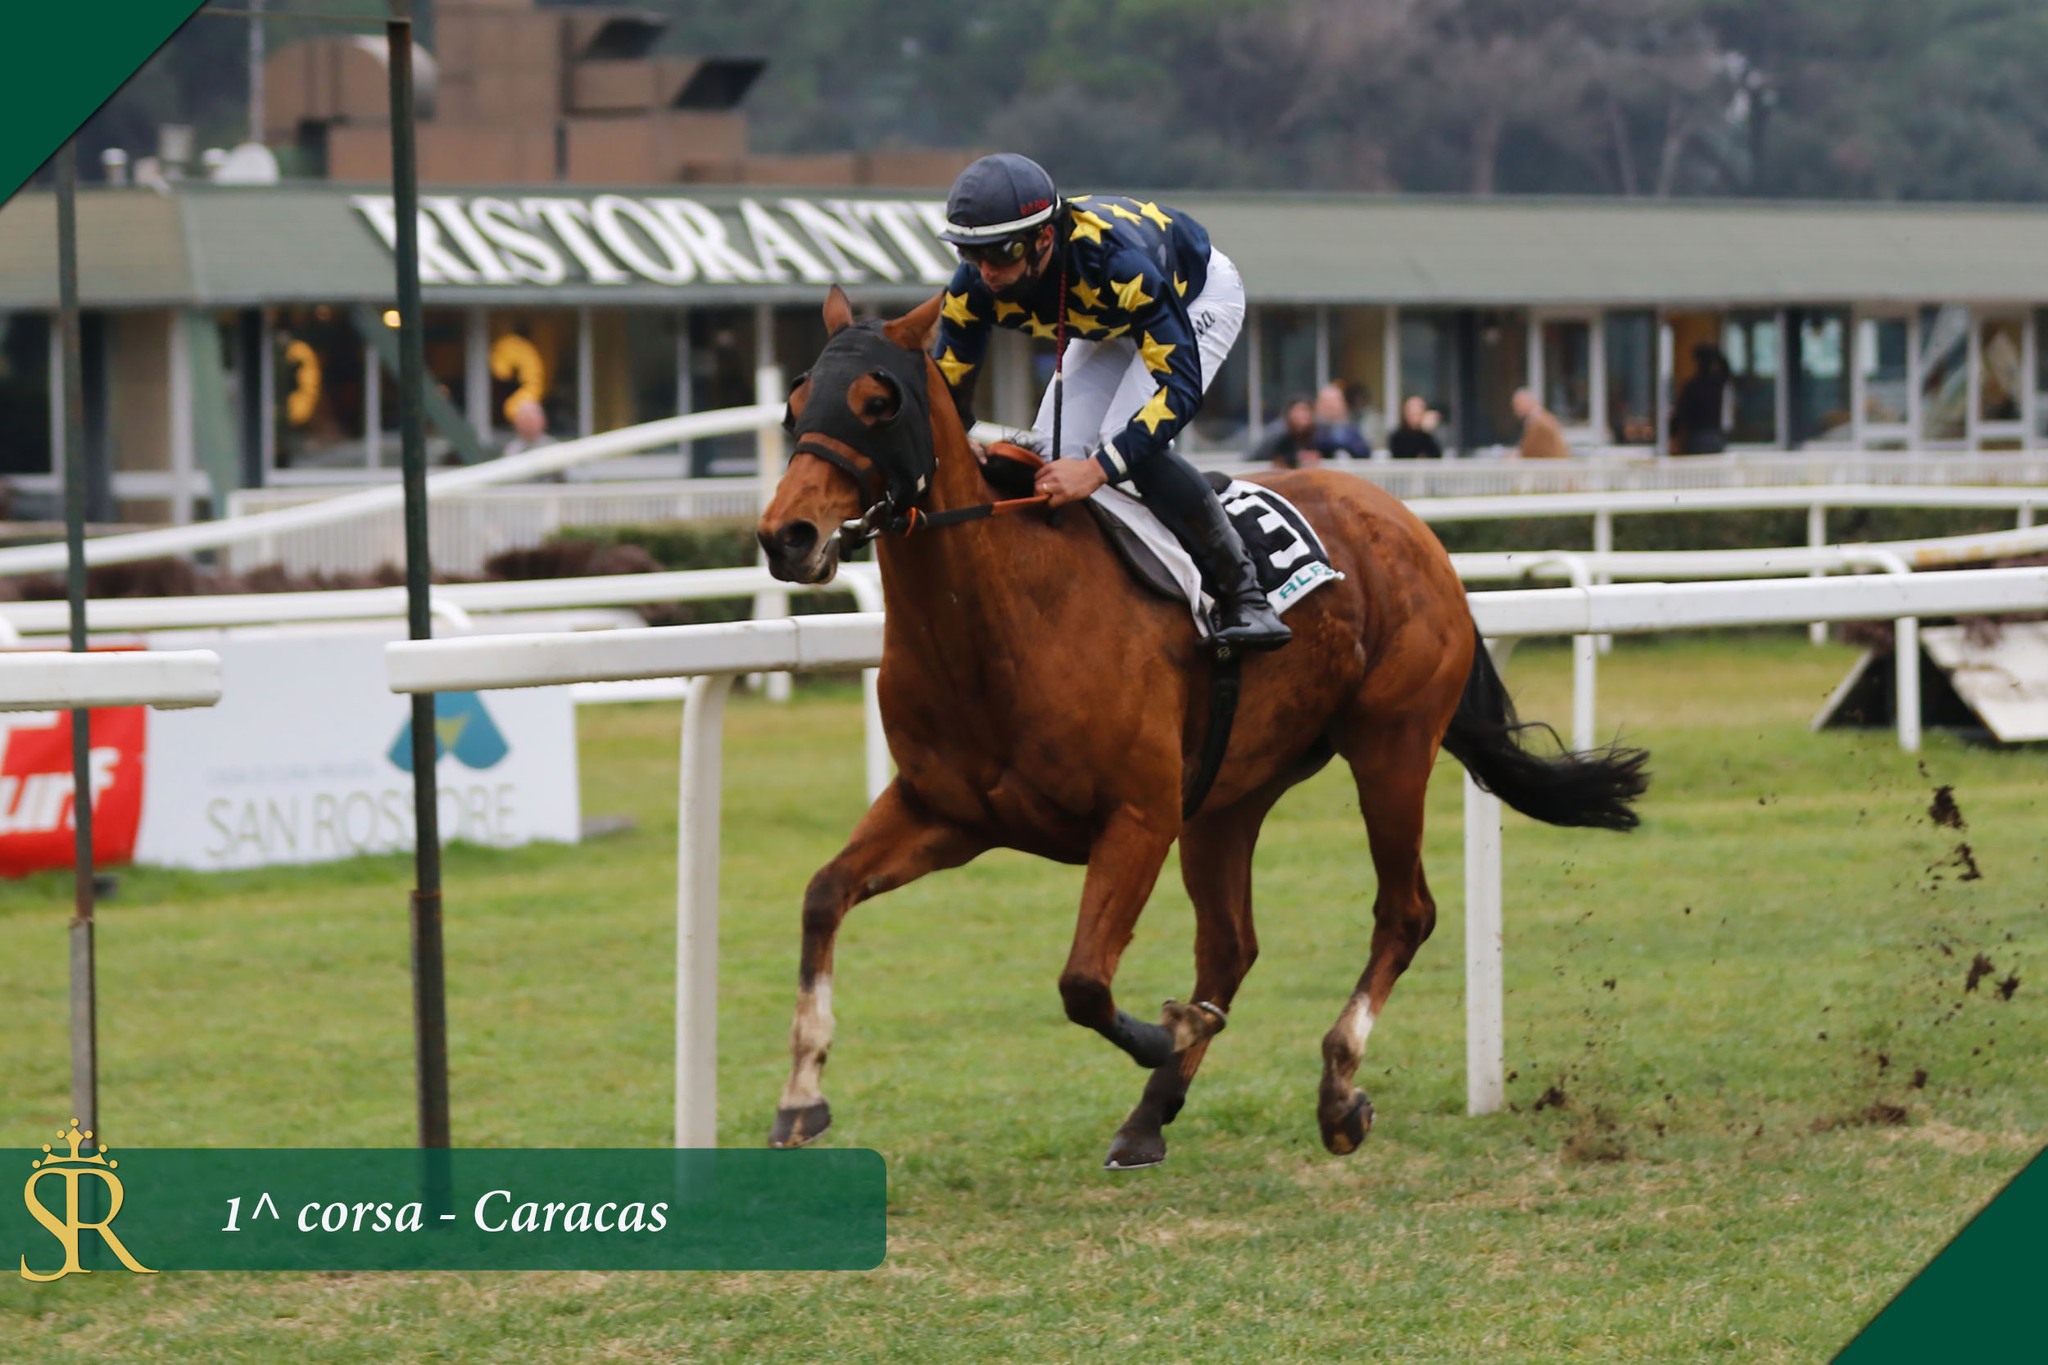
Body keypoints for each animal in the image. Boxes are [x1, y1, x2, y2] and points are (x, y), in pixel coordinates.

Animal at [753, 286, 1646, 1162]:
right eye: (796, 403)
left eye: (877, 402)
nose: (785, 536)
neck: (1002, 617)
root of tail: (1413, 528)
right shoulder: (945, 810)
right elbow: (822, 895)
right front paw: (800, 1095)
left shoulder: (1139, 816)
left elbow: (1083, 980)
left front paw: (1172, 1026)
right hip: (1228, 796)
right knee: (1231, 944)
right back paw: (1151, 1114)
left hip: (1392, 744)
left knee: (1405, 911)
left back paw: (1337, 1089)